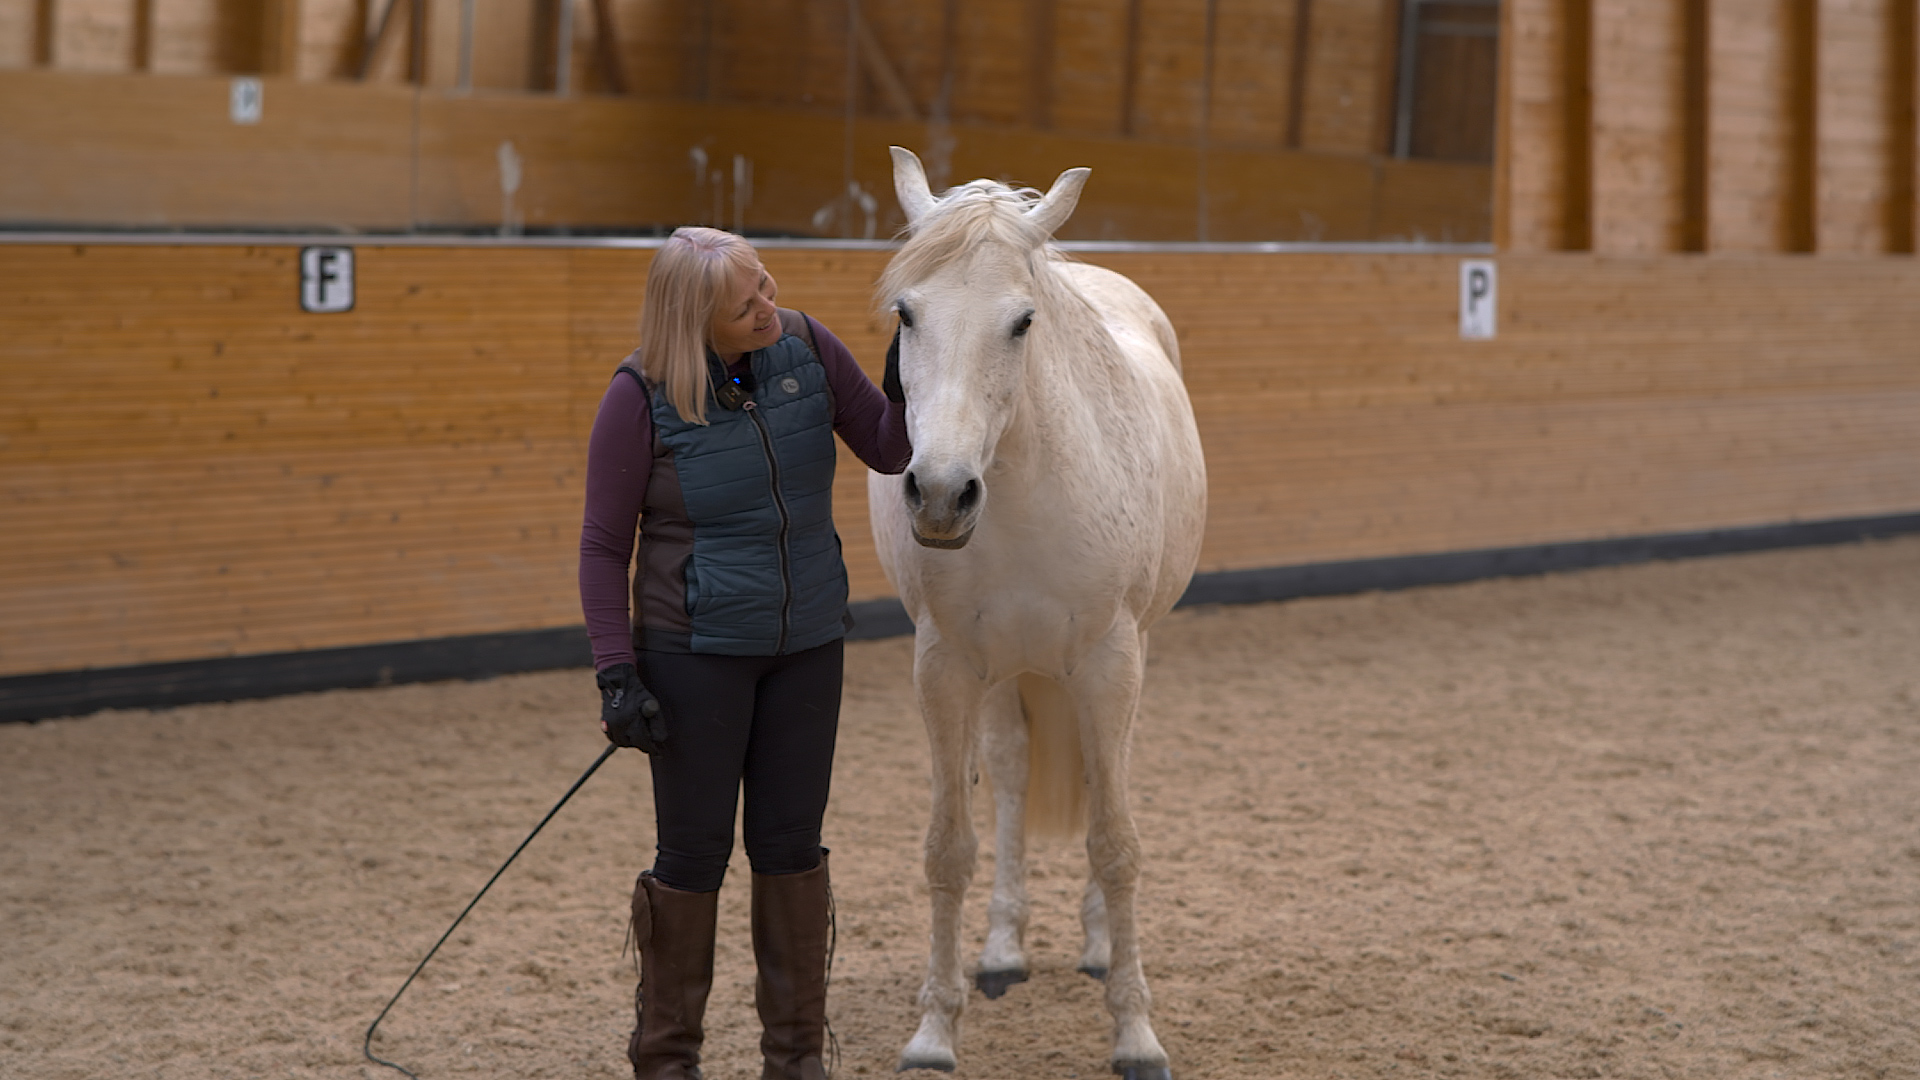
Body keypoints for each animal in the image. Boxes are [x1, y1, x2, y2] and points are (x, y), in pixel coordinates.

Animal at [868, 146, 1208, 1080]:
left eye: (1022, 322)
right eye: (907, 313)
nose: (940, 493)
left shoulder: (1109, 664)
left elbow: (1116, 845)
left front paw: (1135, 1034)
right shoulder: (944, 667)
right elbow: (949, 848)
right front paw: (934, 1031)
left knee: (1097, 778)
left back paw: (1093, 948)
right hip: (1003, 675)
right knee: (1014, 774)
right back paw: (1001, 952)